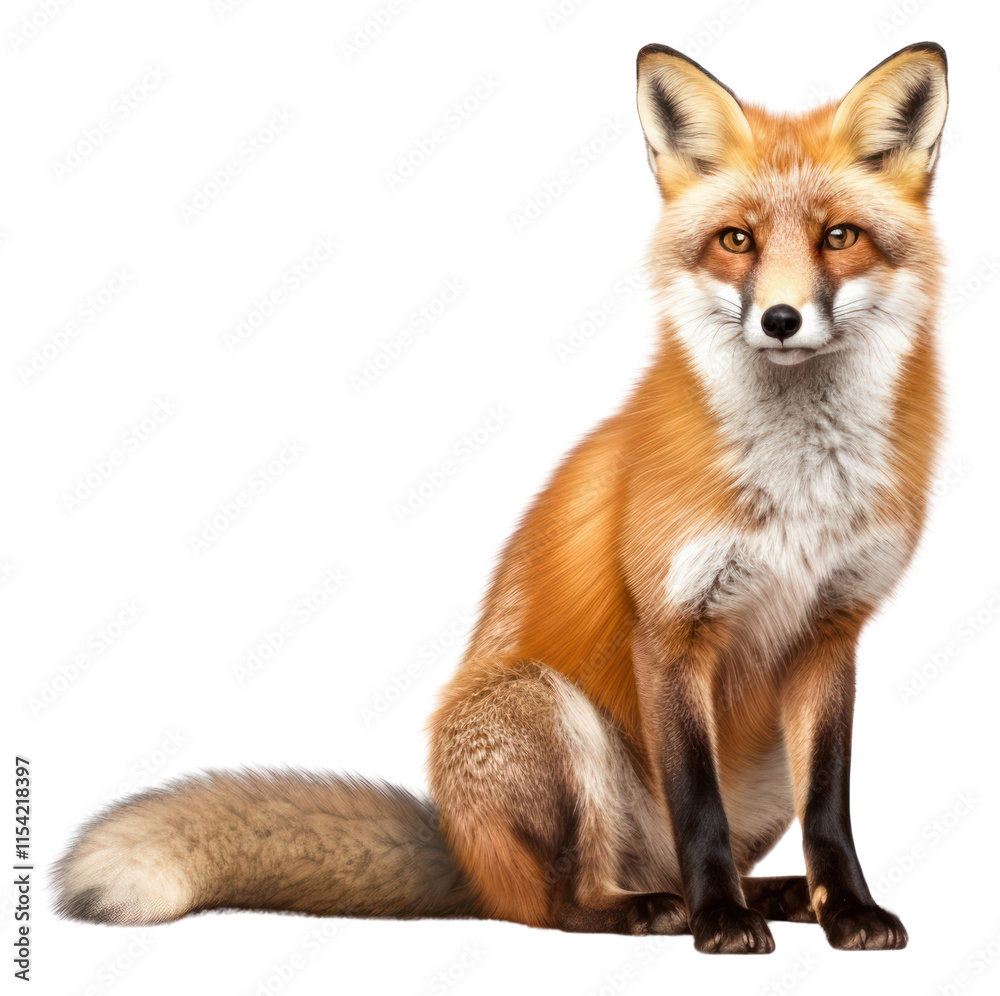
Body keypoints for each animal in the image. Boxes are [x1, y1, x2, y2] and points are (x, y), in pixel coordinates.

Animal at [56, 41, 949, 955]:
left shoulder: (832, 632)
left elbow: (830, 809)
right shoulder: (671, 630)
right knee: (562, 901)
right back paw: (666, 908)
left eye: (838, 237)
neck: (800, 489)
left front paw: (847, 910)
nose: (779, 319)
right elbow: (697, 802)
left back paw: (773, 894)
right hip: (544, 709)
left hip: (756, 766)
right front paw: (723, 925)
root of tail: (464, 852)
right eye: (737, 240)